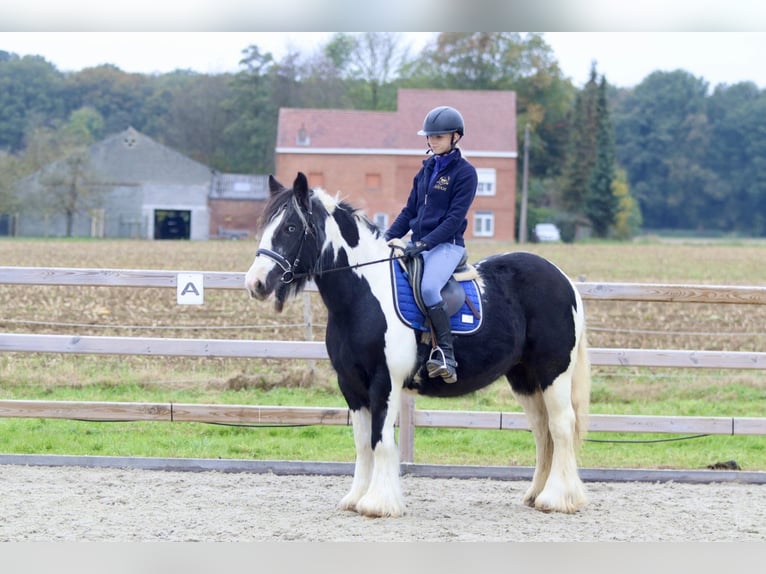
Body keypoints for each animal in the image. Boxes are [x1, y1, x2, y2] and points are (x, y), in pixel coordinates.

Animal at [246, 173, 592, 520]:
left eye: (291, 228)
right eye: (267, 226)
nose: (255, 283)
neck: (364, 296)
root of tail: (563, 280)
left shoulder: (384, 383)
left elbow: (380, 441)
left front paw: (378, 503)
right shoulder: (351, 386)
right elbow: (362, 443)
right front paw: (356, 498)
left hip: (552, 373)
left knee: (561, 426)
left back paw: (556, 498)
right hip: (524, 378)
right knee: (542, 430)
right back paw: (536, 494)